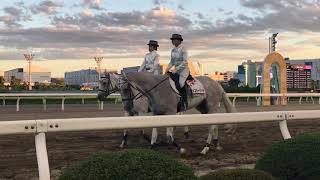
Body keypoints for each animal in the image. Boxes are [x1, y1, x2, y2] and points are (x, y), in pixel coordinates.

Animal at [96, 71, 236, 155]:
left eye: (104, 82)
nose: (99, 96)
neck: (156, 90)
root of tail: (217, 84)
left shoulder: (162, 113)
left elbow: (165, 134)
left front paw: (180, 148)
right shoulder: (152, 114)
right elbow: (150, 132)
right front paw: (151, 146)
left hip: (212, 106)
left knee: (212, 126)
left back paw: (205, 148)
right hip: (203, 108)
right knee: (214, 125)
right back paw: (216, 144)